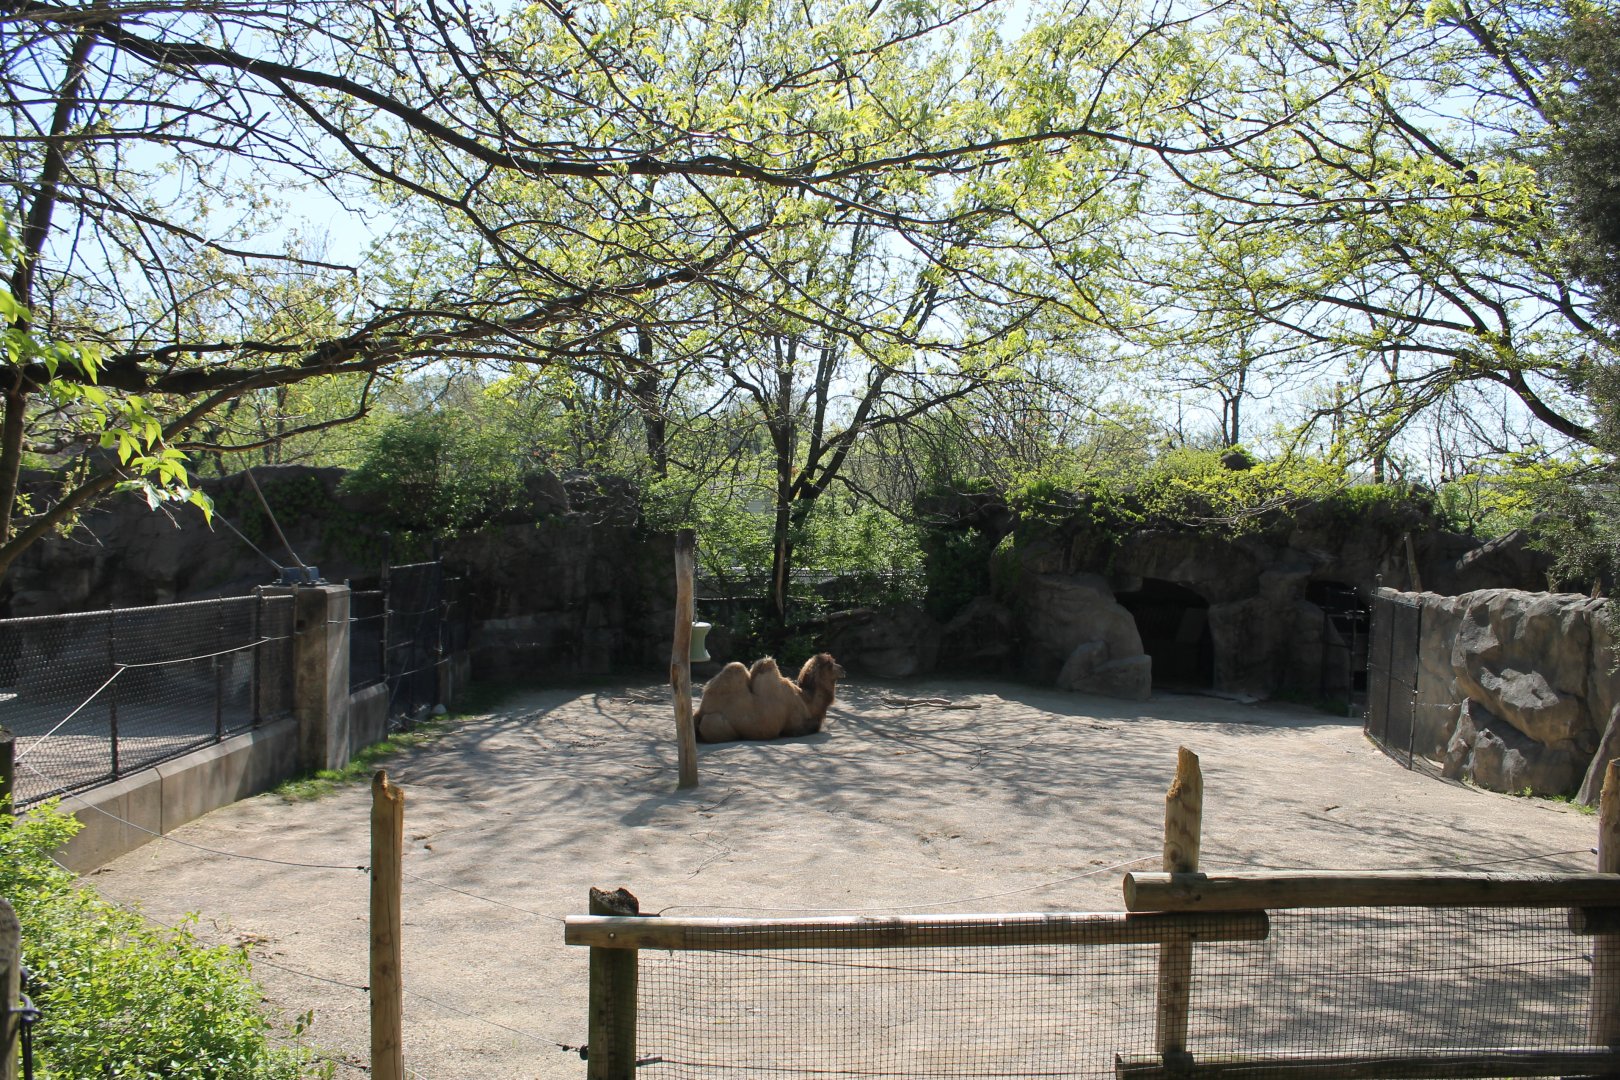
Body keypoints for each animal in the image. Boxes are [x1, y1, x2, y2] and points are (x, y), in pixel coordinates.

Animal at [693, 653, 846, 742]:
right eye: (832, 664)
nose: (843, 669)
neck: (807, 700)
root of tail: (700, 712)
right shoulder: (794, 725)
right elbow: (814, 726)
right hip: (715, 723)